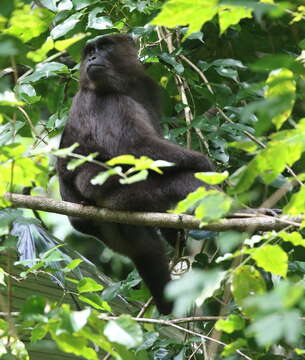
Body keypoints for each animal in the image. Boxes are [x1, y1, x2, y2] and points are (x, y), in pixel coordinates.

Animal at [57, 34, 214, 316]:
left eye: (103, 47)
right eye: (90, 50)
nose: (92, 57)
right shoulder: (109, 101)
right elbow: (134, 146)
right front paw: (205, 163)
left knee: (148, 250)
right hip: (118, 197)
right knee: (183, 181)